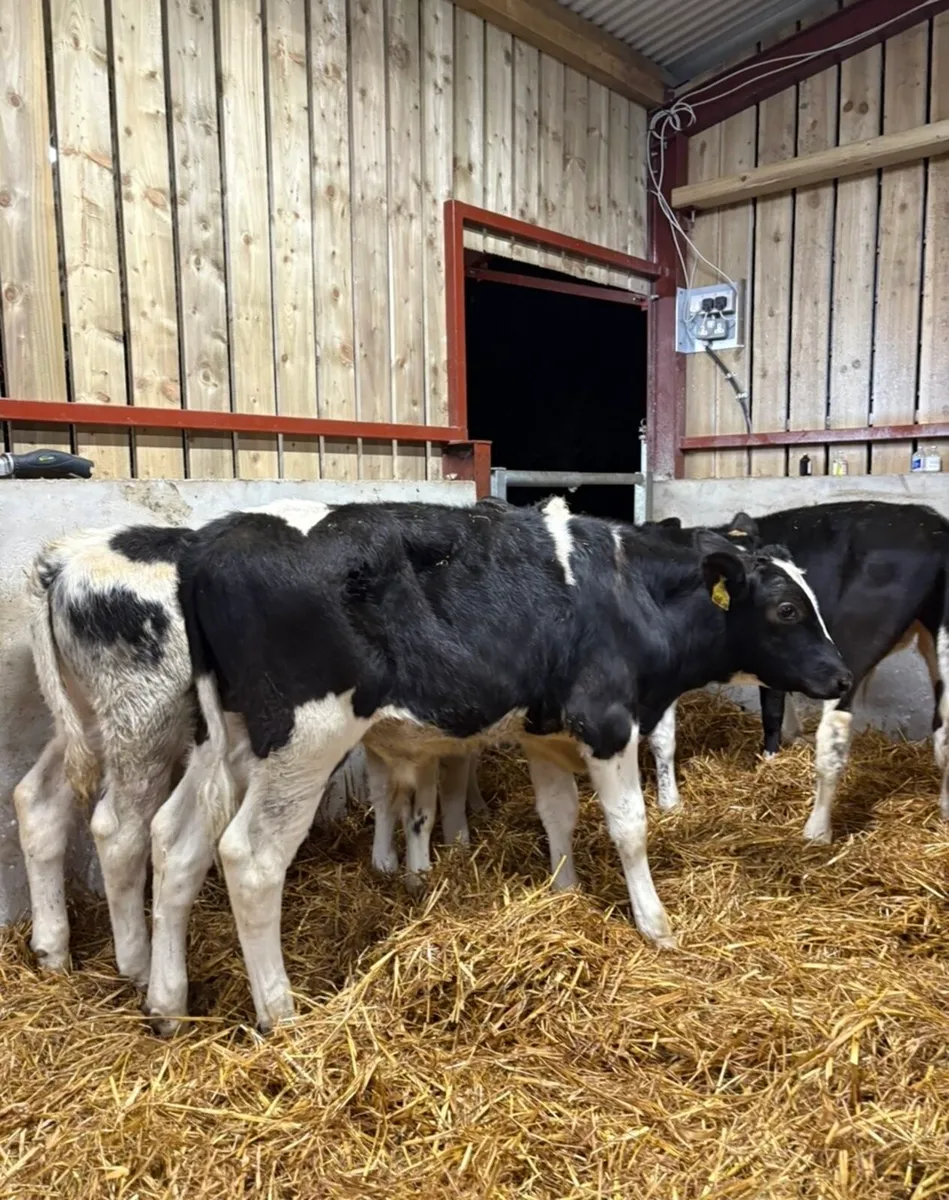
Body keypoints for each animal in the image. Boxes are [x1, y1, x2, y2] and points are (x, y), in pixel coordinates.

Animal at [144, 495, 850, 1033]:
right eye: (787, 609)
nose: (842, 675)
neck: (632, 591)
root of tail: (209, 543)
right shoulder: (607, 720)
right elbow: (629, 827)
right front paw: (655, 925)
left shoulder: (546, 731)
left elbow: (558, 813)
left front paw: (564, 896)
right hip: (304, 739)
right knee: (250, 857)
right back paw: (281, 1013)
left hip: (224, 736)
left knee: (174, 840)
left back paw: (166, 1005)